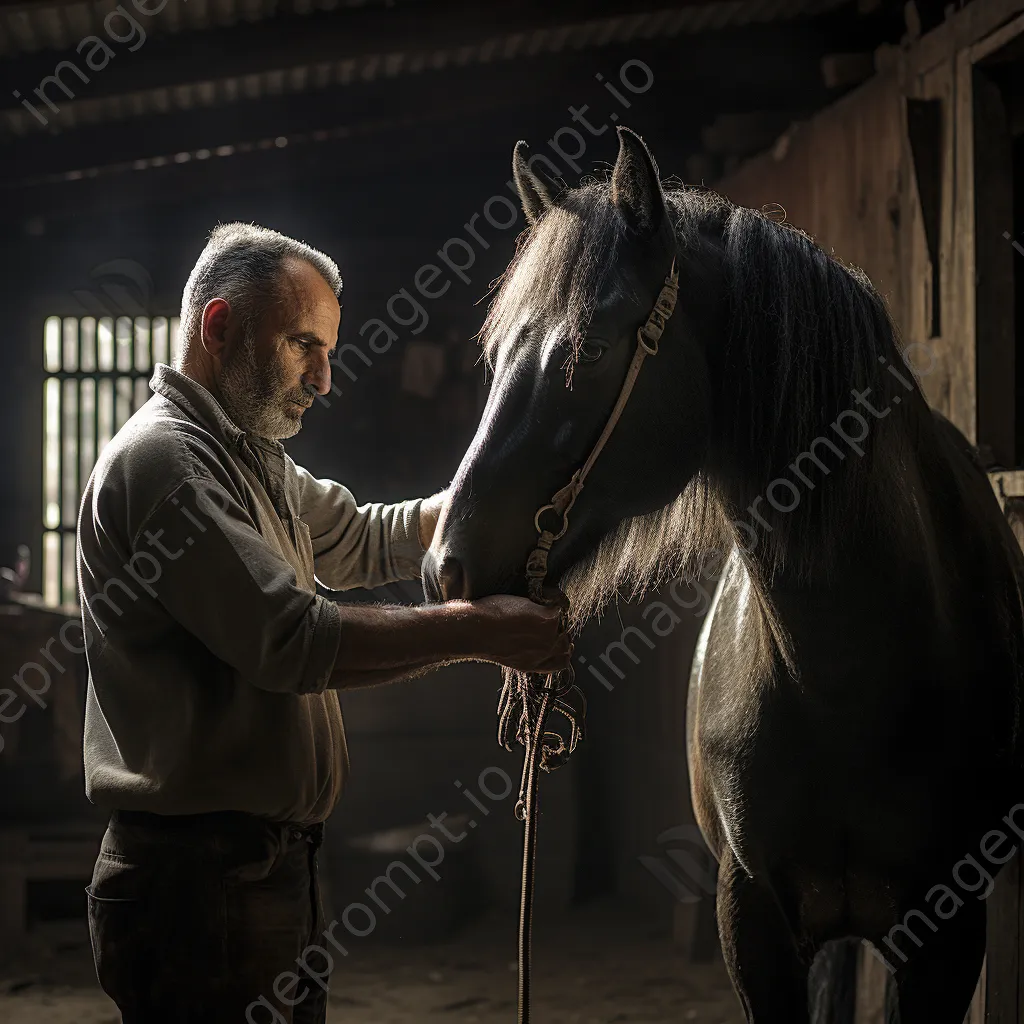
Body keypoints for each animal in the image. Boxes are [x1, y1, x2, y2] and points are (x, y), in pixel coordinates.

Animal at [421, 130, 1024, 1024]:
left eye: (588, 349)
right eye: (495, 357)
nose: (446, 565)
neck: (840, 666)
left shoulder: (946, 931)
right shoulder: (751, 918)